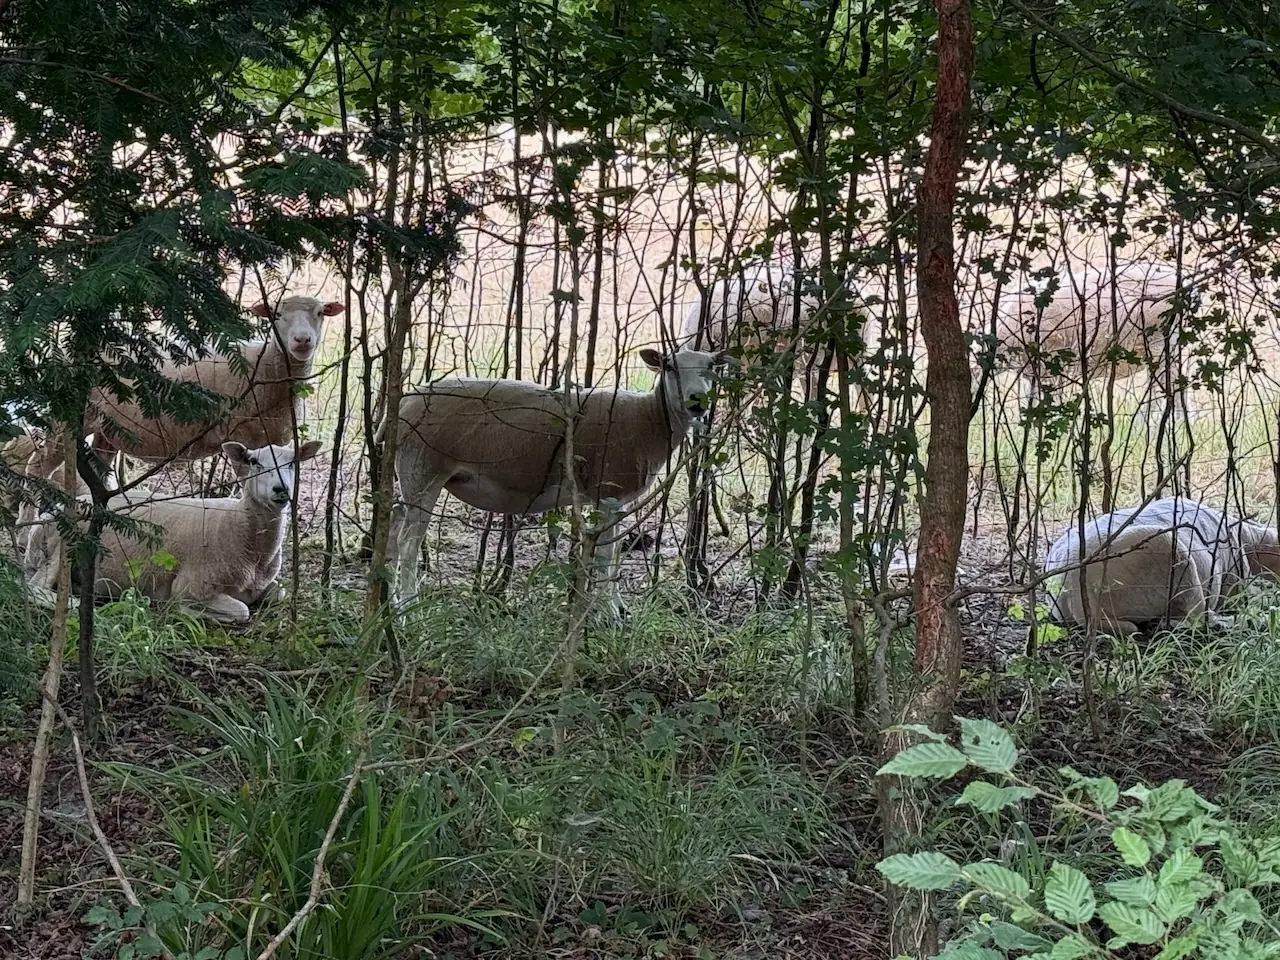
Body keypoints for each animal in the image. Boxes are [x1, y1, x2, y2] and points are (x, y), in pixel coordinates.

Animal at [24, 440, 321, 625]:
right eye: (254, 461)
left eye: (293, 462)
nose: (280, 489)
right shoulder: (191, 585)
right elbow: (241, 610)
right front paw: (182, 610)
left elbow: (279, 593)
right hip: (58, 544)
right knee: (33, 588)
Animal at [26, 294, 343, 480]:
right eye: (276, 315)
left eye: (320, 313)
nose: (302, 340)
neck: (267, 369)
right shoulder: (243, 438)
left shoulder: (279, 441)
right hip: (65, 417)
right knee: (38, 465)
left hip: (109, 430)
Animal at [382, 346, 723, 618]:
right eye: (669, 366)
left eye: (711, 368)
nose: (697, 401)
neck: (648, 420)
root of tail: (402, 404)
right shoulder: (607, 490)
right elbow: (605, 557)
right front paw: (609, 615)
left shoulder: (615, 499)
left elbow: (612, 555)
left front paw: (614, 609)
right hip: (423, 467)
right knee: (408, 542)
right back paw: (408, 611)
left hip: (412, 473)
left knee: (395, 525)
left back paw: (389, 602)